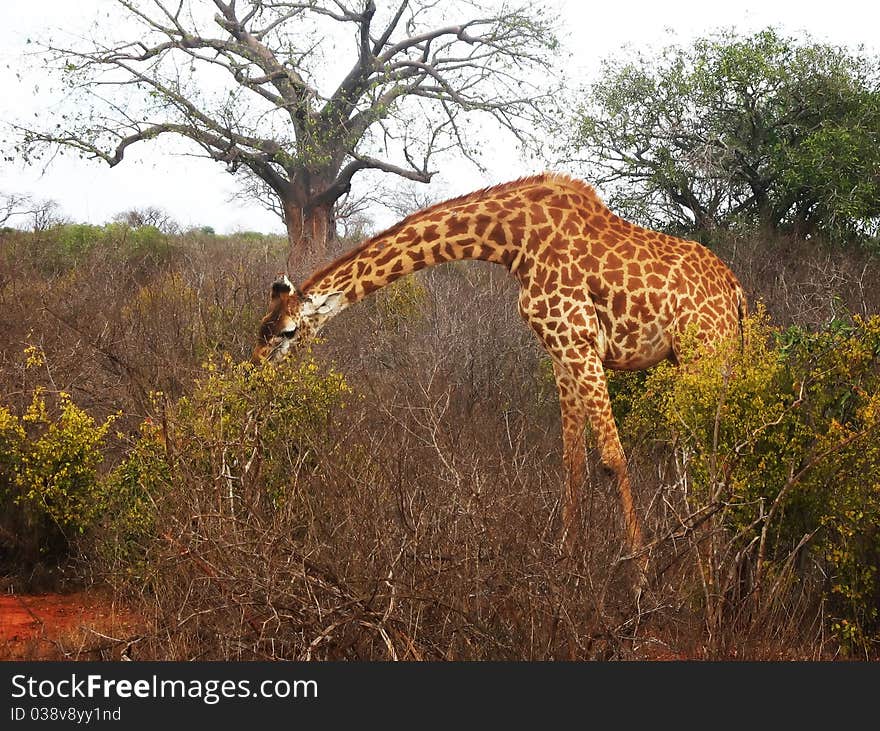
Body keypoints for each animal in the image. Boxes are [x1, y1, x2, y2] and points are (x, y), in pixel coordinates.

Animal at [251, 176, 744, 556]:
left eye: (286, 333)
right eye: (262, 328)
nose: (255, 375)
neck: (513, 243)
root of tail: (736, 292)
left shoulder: (579, 342)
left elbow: (612, 458)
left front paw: (639, 578)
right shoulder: (559, 350)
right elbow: (573, 459)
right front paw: (568, 562)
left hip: (705, 352)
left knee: (714, 453)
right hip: (692, 359)